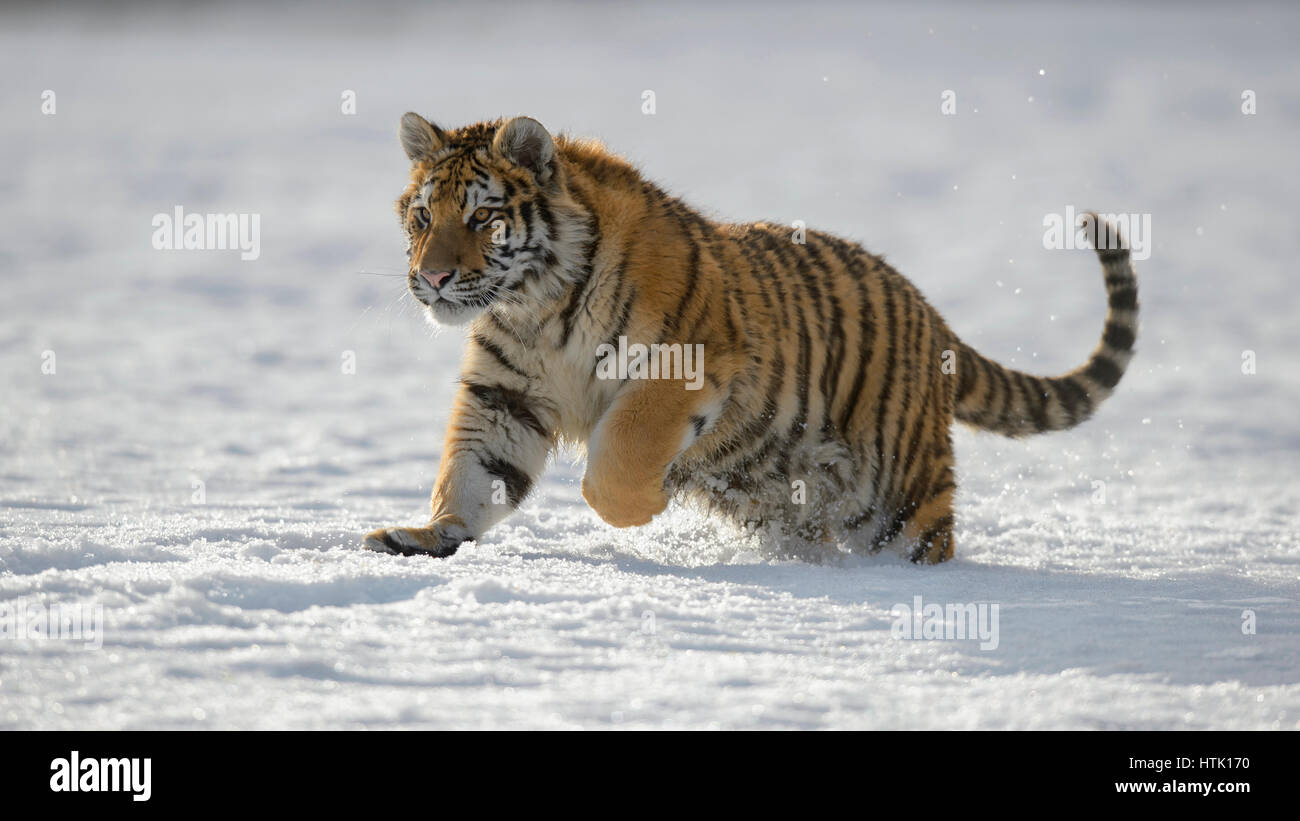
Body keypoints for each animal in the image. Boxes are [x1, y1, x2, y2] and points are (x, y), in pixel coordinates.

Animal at [363, 113, 1139, 564]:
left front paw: (639, 508)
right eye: (423, 216)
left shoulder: (685, 365)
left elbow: (621, 452)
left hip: (899, 492)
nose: (432, 278)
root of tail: (930, 312)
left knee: (927, 540)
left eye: (483, 216)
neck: (536, 304)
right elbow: (471, 472)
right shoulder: (505, 394)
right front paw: (428, 535)